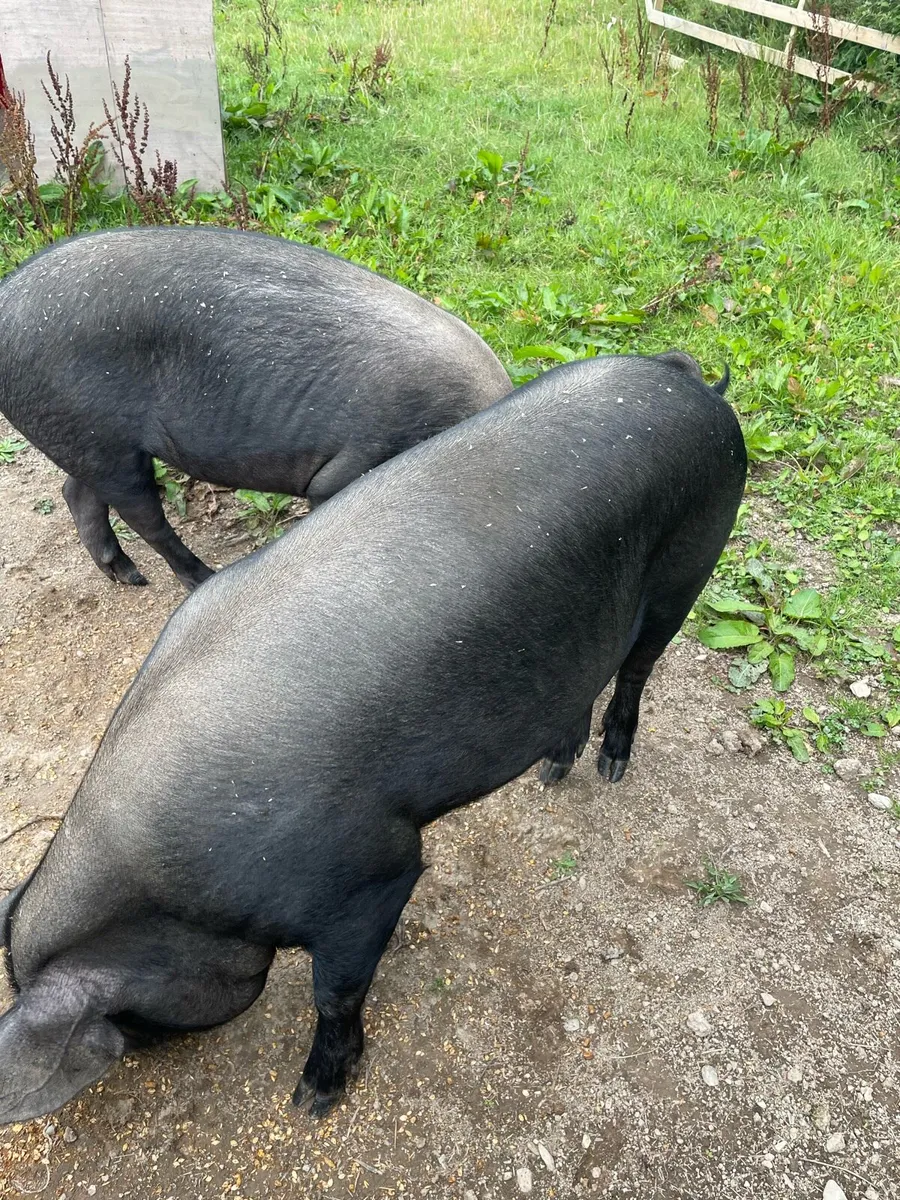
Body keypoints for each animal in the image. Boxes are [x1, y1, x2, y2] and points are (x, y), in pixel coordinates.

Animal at [0, 226, 511, 589]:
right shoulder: (348, 469)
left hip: (87, 443)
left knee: (77, 492)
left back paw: (128, 578)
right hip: (94, 436)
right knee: (142, 517)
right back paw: (198, 580)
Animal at [0, 350, 745, 1124]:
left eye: (128, 1014)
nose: (132, 1052)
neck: (165, 886)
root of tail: (684, 377)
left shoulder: (371, 874)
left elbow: (337, 990)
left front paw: (313, 1100)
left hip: (693, 558)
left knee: (638, 667)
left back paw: (611, 766)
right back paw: (552, 771)